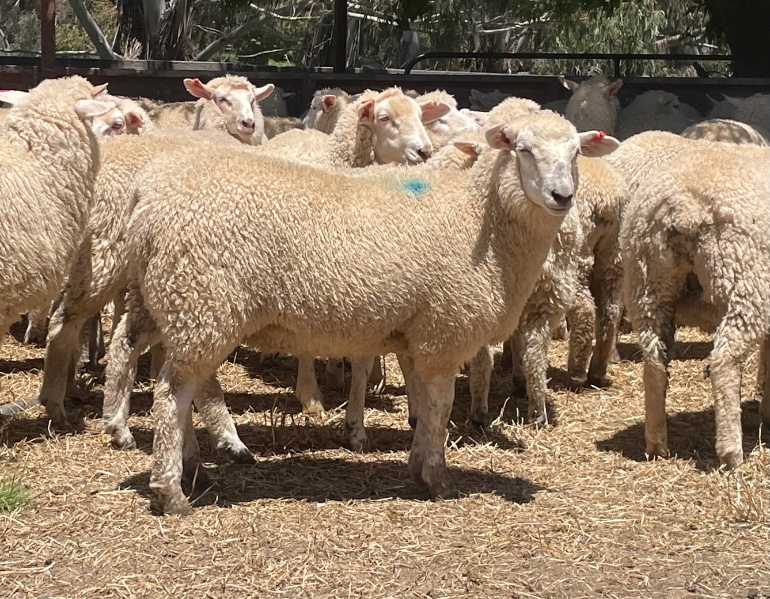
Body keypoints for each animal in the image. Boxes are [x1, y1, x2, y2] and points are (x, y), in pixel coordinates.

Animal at [108, 109, 620, 516]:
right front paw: (438, 478)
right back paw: (172, 491)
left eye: (577, 152)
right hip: (204, 304)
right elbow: (441, 407)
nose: (562, 196)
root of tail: (147, 198)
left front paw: (416, 466)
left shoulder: (418, 332)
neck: (481, 221)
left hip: (163, 300)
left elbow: (422, 403)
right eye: (522, 149)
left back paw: (179, 459)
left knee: (139, 357)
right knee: (173, 393)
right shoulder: (444, 331)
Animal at [616, 143, 768, 472]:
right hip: (744, 283)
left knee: (654, 361)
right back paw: (730, 453)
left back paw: (657, 443)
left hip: (647, 284)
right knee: (724, 361)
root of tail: (682, 207)